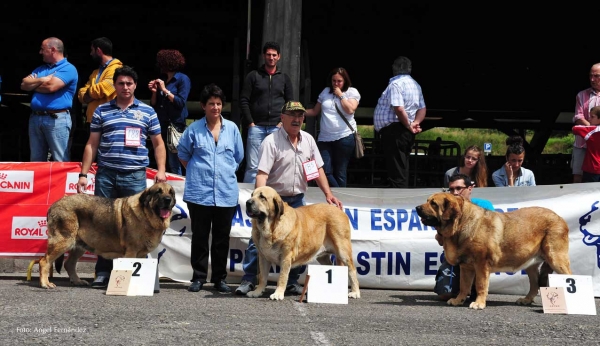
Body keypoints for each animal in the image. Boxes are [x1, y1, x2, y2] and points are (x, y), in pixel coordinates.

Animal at [38, 182, 176, 290]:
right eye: (158, 192)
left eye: (171, 193)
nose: (168, 199)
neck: (147, 215)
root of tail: (54, 205)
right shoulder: (131, 251)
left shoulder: (141, 254)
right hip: (63, 241)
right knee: (44, 261)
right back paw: (45, 283)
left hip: (79, 244)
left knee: (69, 263)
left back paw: (77, 281)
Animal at [418, 193, 572, 310]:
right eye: (427, 201)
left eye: (433, 204)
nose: (417, 207)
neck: (461, 223)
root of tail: (560, 218)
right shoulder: (466, 267)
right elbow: (464, 286)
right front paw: (458, 300)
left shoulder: (481, 264)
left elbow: (480, 285)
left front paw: (479, 303)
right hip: (531, 265)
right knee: (534, 286)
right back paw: (526, 300)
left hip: (556, 259)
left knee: (569, 276)